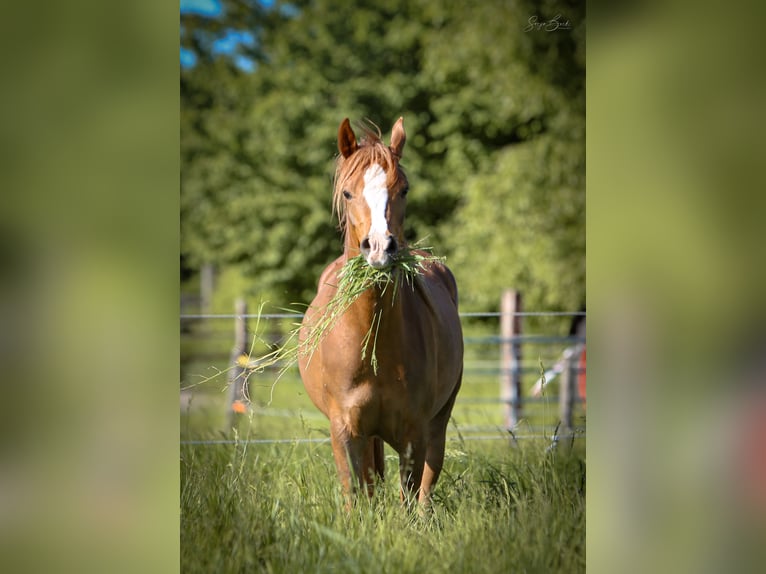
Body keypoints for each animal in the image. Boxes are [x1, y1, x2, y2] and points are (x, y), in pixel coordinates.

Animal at [298, 117, 464, 507]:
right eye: (347, 193)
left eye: (403, 190)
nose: (379, 248)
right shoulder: (344, 431)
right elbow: (354, 497)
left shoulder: (413, 433)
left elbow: (410, 498)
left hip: (438, 421)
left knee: (427, 484)